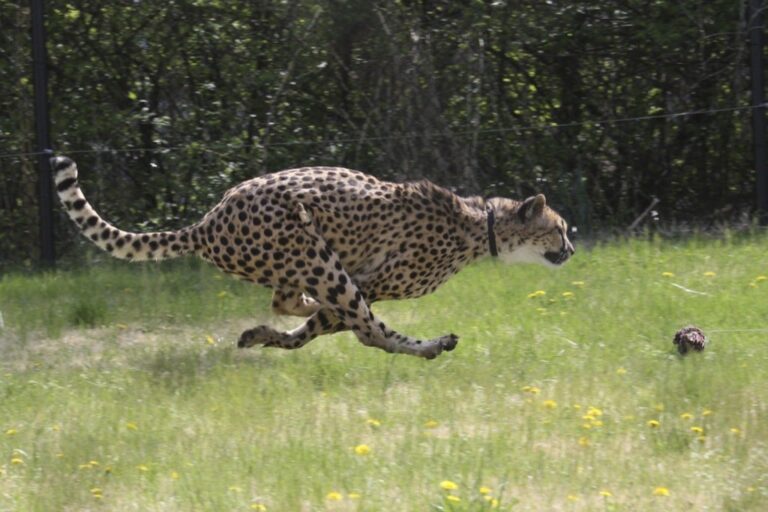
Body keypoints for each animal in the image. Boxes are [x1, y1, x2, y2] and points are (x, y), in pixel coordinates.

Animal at [51, 156, 574, 359]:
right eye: (560, 229)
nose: (571, 249)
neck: (480, 224)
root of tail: (207, 221)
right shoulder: (373, 283)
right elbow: (348, 324)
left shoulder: (360, 285)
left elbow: (317, 325)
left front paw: (269, 334)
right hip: (314, 250)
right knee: (368, 332)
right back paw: (431, 345)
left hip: (307, 262)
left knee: (289, 302)